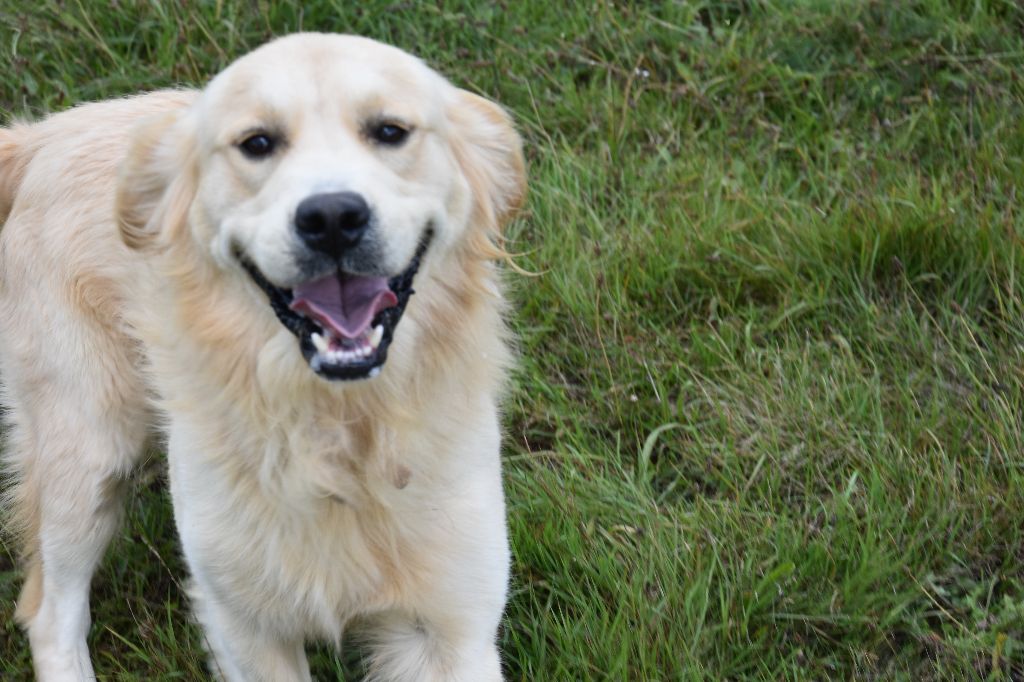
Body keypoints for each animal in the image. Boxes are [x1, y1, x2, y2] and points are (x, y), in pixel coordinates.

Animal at [0, 33, 524, 679]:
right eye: (257, 143)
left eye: (390, 131)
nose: (332, 218)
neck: (335, 431)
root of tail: (40, 138)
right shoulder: (243, 625)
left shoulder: (451, 631)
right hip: (91, 455)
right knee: (51, 614)